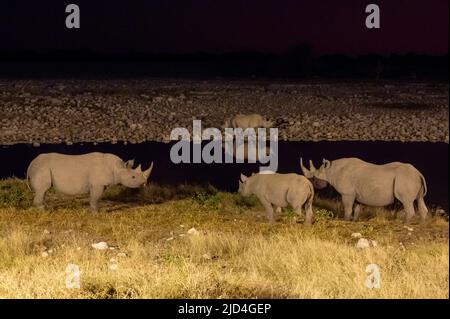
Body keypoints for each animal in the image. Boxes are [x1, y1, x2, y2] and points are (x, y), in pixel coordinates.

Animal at [300, 157, 428, 222]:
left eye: (314, 177)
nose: (314, 185)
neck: (331, 170)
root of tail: (419, 173)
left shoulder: (347, 193)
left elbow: (347, 208)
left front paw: (345, 220)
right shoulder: (356, 194)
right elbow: (356, 209)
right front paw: (354, 221)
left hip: (405, 178)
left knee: (407, 202)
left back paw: (404, 223)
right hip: (412, 178)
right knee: (420, 199)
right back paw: (422, 224)